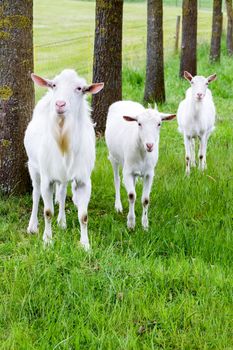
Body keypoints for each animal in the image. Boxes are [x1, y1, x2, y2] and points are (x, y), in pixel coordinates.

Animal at [24, 69, 103, 249]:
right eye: (54, 85)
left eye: (79, 88)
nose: (60, 104)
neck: (63, 142)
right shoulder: (47, 178)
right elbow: (47, 211)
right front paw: (47, 240)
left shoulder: (83, 180)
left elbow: (84, 216)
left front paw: (85, 245)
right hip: (33, 167)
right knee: (35, 193)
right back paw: (32, 226)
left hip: (64, 176)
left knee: (61, 193)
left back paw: (62, 222)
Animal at [105, 100, 175, 230]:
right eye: (139, 123)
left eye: (159, 124)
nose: (150, 145)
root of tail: (125, 101)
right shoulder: (128, 171)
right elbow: (132, 195)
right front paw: (131, 224)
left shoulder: (149, 173)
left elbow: (145, 199)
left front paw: (145, 225)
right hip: (113, 157)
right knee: (117, 179)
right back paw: (118, 206)